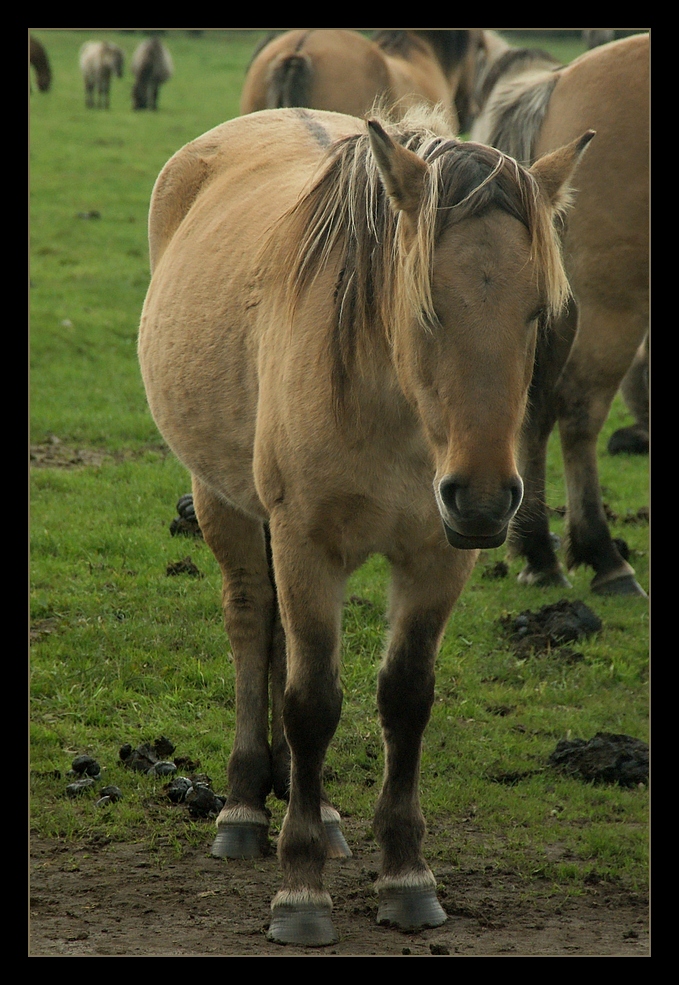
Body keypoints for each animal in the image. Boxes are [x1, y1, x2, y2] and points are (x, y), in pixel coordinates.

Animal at [139, 102, 596, 944]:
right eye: (427, 307)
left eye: (534, 313)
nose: (484, 499)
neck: (396, 411)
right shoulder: (304, 542)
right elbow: (312, 700)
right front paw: (300, 890)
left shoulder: (436, 557)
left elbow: (404, 697)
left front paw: (406, 876)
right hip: (224, 503)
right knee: (251, 627)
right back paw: (246, 806)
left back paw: (316, 808)